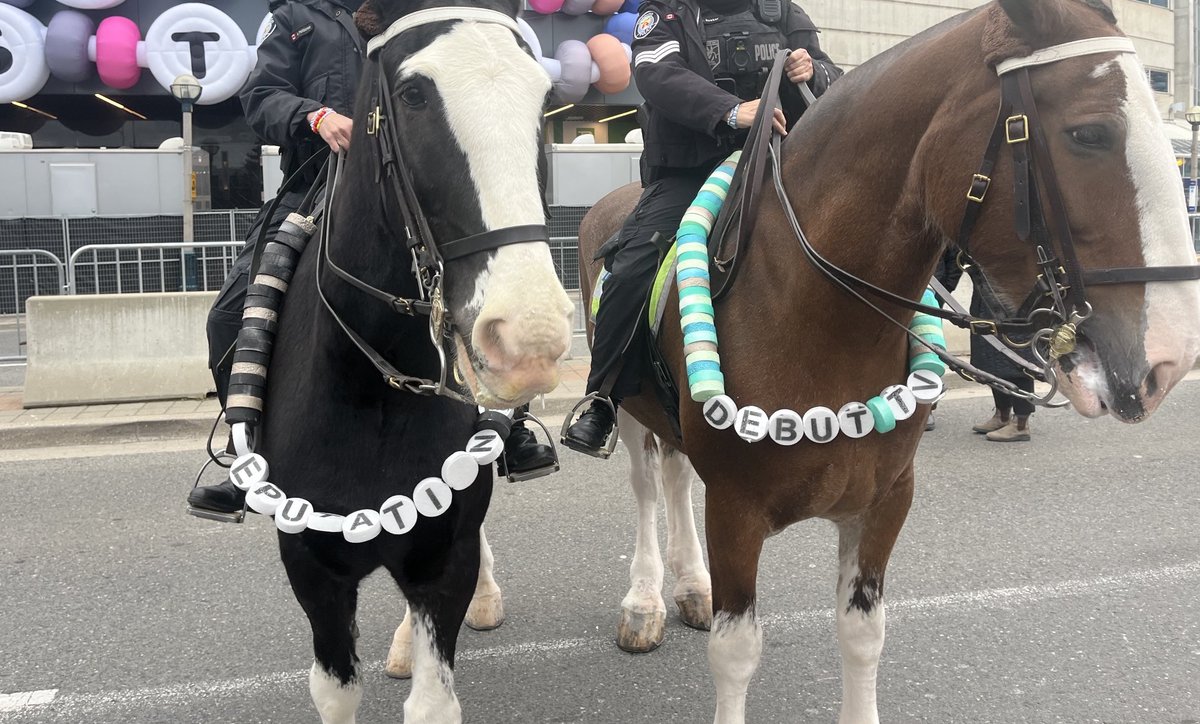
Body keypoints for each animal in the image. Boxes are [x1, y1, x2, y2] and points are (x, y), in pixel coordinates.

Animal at [246, 0, 573, 720]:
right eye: (414, 95)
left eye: (544, 98)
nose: (529, 338)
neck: (376, 391)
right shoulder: (312, 567)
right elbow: (335, 690)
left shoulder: (441, 556)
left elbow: (433, 701)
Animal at [577, 1, 1200, 721]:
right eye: (1089, 133)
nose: (1171, 353)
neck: (817, 314)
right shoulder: (735, 508)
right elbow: (736, 655)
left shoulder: (883, 501)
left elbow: (861, 633)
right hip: (629, 410)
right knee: (648, 486)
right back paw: (645, 600)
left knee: (675, 477)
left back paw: (690, 587)